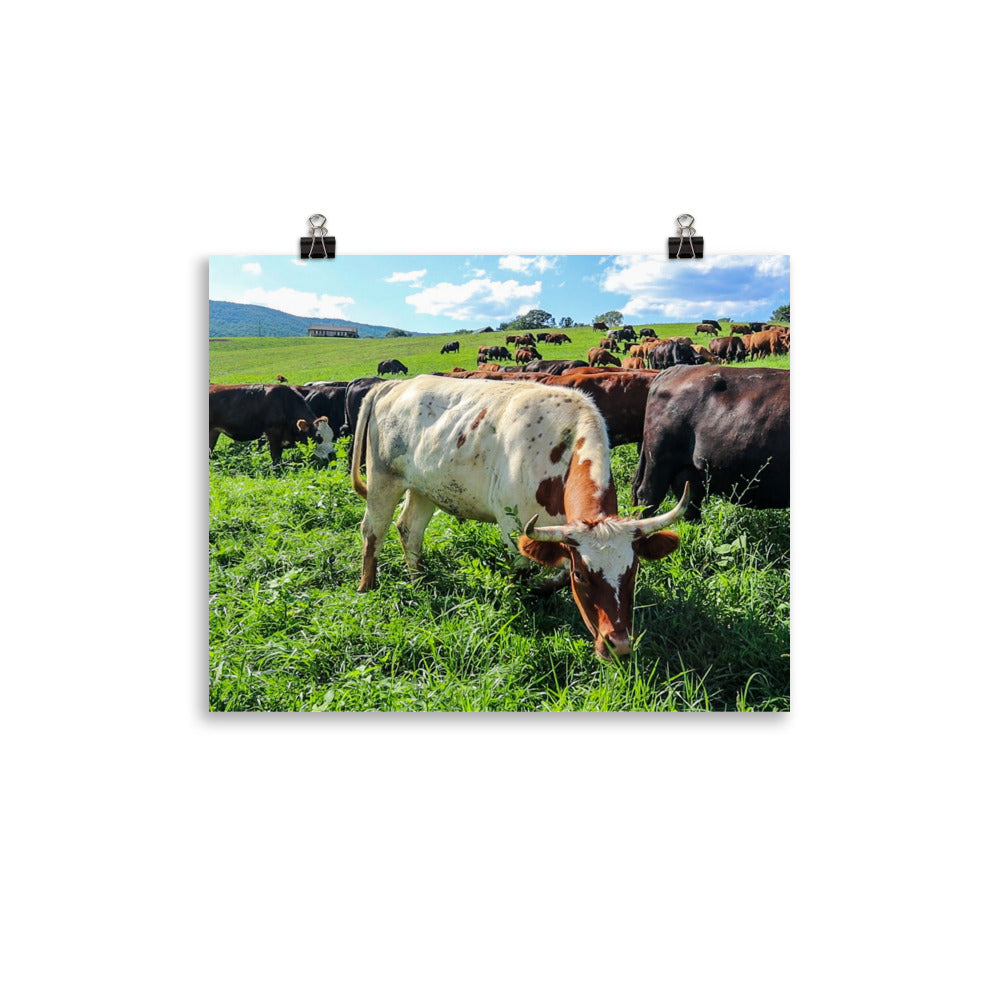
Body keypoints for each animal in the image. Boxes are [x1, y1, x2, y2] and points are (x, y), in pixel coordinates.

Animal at [351, 375, 690, 658]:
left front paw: (543, 588)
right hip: (383, 480)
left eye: (633, 571)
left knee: (410, 530)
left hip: (424, 489)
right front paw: (523, 602)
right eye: (583, 576)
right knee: (372, 532)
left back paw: (419, 580)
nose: (618, 645)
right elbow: (522, 573)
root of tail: (394, 385)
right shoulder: (513, 526)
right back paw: (367, 587)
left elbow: (556, 574)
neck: (561, 449)